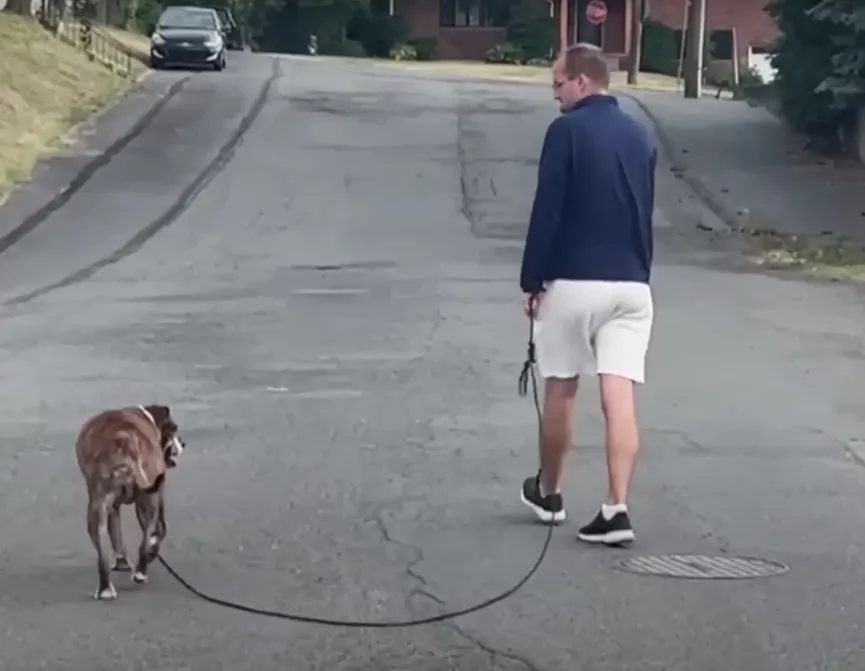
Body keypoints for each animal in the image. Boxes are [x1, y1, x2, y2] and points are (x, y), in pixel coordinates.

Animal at [74, 406, 184, 600]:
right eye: (173, 429)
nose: (183, 443)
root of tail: (126, 443)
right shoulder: (158, 492)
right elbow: (161, 529)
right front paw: (152, 549)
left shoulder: (113, 507)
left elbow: (115, 532)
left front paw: (122, 561)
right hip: (150, 498)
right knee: (147, 537)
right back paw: (141, 570)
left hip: (98, 505)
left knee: (102, 554)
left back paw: (105, 588)